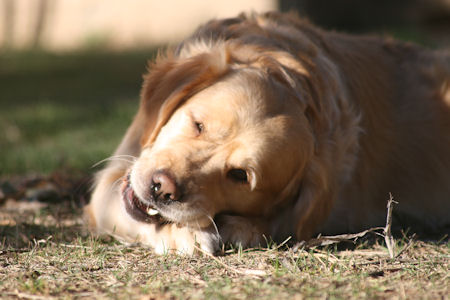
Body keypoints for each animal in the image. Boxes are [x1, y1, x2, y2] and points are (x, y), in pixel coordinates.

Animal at [85, 11, 450, 254]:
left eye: (239, 175)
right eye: (197, 124)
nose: (162, 188)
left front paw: (235, 229)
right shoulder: (114, 178)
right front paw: (185, 234)